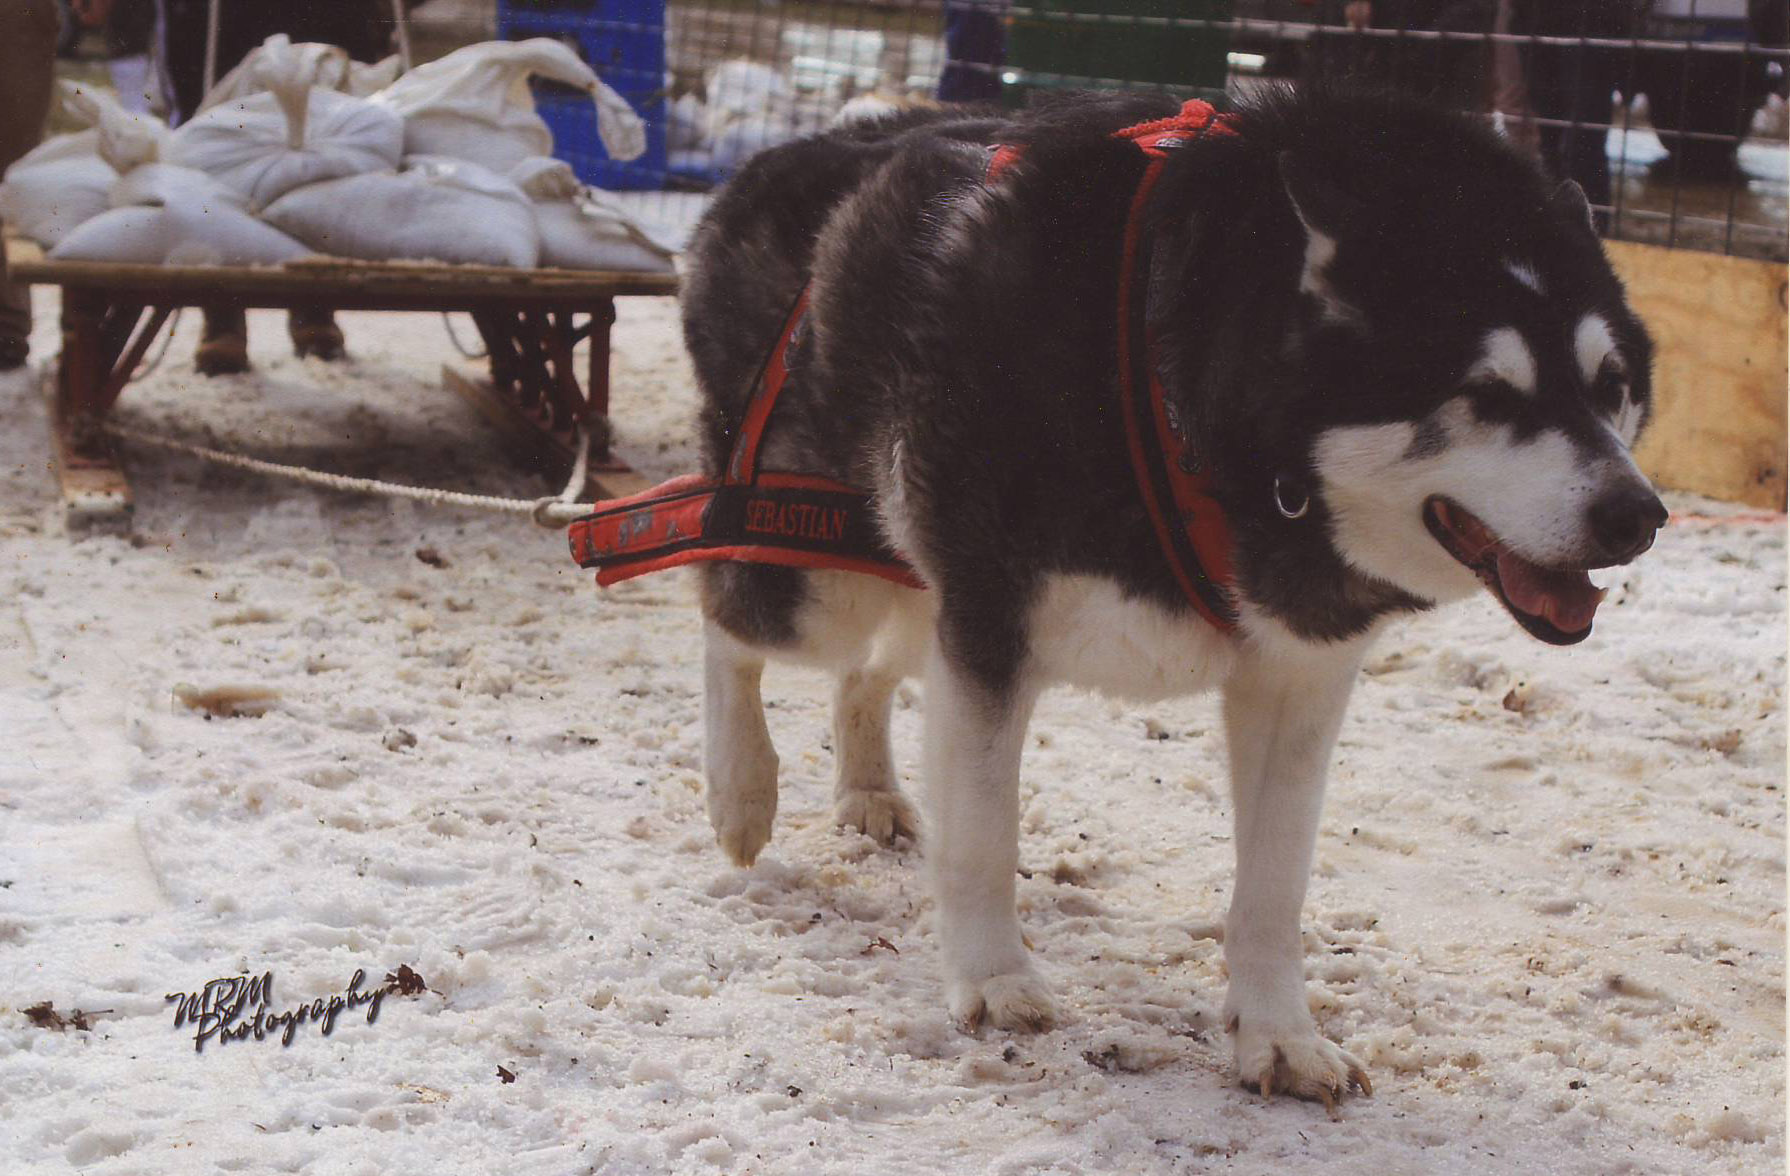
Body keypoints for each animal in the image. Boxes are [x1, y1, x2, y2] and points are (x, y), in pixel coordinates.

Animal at [673, 87, 1661, 1102]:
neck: (1186, 402)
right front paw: (994, 977)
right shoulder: (988, 631)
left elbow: (1273, 885)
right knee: (724, 616)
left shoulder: (1297, 678)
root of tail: (795, 150)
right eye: (1488, 394)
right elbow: (984, 839)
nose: (1638, 514)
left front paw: (1279, 1033)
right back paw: (741, 790)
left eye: (1611, 385)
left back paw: (868, 790)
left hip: (911, 586)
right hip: (819, 575)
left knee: (863, 676)